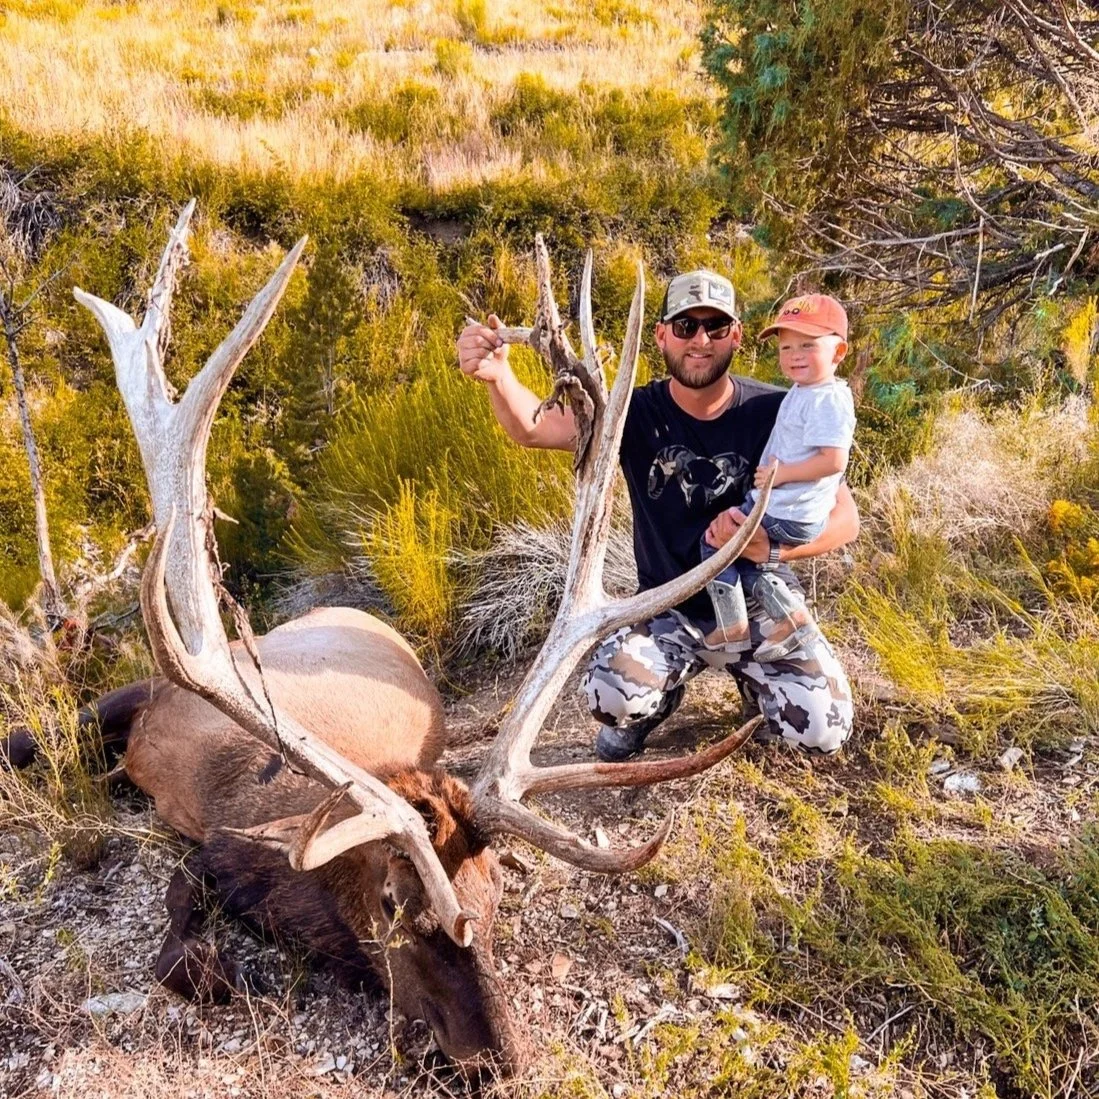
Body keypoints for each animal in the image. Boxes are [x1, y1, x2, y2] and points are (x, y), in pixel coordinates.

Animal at [8, 203, 772, 1078]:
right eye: (388, 899)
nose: (495, 1056)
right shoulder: (187, 779)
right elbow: (175, 934)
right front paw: (229, 971)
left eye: (495, 890)